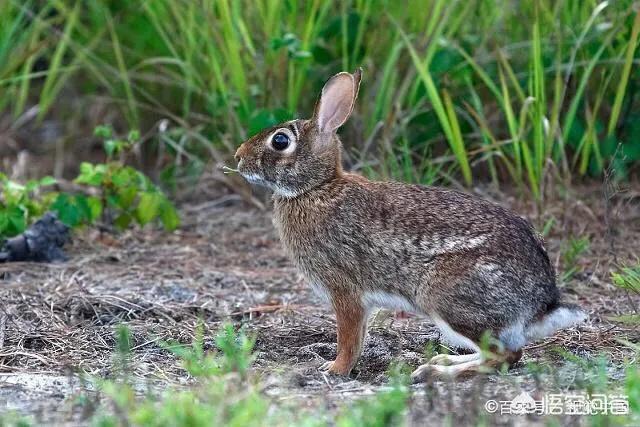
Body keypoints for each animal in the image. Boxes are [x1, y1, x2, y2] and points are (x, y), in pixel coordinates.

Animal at [234, 69, 584, 382]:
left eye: (280, 140)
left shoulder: (344, 290)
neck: (316, 188)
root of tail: (542, 304)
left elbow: (349, 338)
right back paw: (443, 360)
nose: (238, 157)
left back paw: (433, 372)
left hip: (446, 298)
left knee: (506, 356)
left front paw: (334, 369)